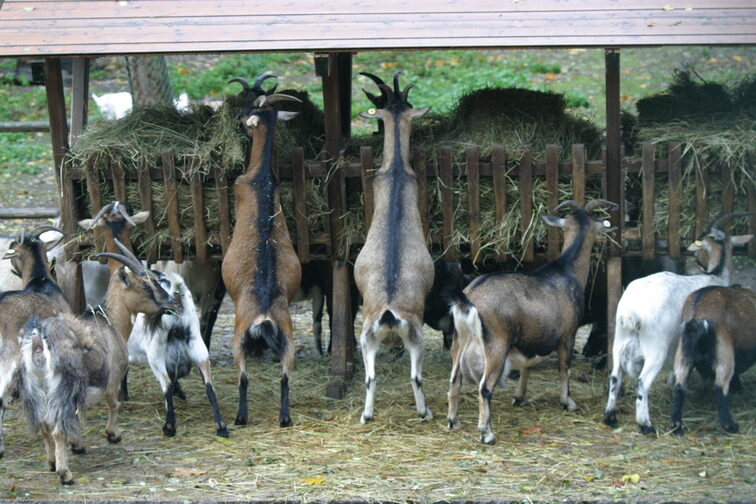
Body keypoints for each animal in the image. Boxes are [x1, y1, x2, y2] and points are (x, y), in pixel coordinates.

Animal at [18, 244, 177, 484]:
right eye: (146, 284)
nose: (171, 302)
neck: (112, 322)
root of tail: (39, 339)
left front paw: (78, 444)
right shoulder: (113, 377)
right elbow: (114, 404)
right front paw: (113, 435)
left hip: (35, 388)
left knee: (44, 426)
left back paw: (52, 462)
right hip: (63, 387)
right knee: (56, 429)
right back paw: (65, 474)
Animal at [448, 199, 618, 444]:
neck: (567, 270)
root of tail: (469, 298)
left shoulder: (531, 337)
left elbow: (527, 367)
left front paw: (520, 398)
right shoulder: (568, 336)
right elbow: (564, 369)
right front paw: (568, 403)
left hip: (458, 340)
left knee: (454, 380)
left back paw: (454, 421)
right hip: (496, 344)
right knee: (485, 387)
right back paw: (486, 433)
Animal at [671, 285, 756, 435]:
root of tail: (697, 314)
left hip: (683, 354)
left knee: (679, 387)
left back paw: (676, 426)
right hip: (724, 351)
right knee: (719, 387)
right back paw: (729, 425)